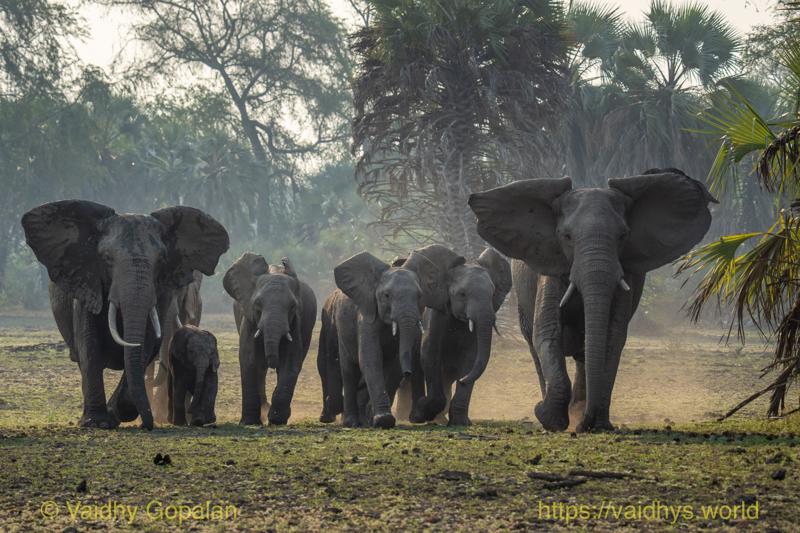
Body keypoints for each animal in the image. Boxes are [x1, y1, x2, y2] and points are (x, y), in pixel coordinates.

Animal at [21, 200, 229, 429]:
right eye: (106, 259)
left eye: (161, 260)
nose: (147, 425)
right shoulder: (87, 281)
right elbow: (89, 344)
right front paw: (98, 422)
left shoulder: (160, 293)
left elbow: (146, 342)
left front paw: (117, 413)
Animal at [223, 253, 316, 425]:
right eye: (257, 304)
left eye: (292, 306)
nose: (273, 361)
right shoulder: (249, 318)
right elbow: (249, 359)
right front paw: (249, 423)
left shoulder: (296, 321)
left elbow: (291, 360)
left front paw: (276, 420)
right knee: (260, 369)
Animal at [325, 245, 465, 429]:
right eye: (386, 296)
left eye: (419, 296)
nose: (408, 372)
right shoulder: (367, 315)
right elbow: (370, 357)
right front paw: (382, 419)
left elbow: (395, 363)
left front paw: (375, 417)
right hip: (342, 327)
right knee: (349, 371)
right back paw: (352, 422)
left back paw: (364, 419)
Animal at [409, 248, 512, 426]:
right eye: (462, 294)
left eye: (492, 293)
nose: (463, 379)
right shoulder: (436, 315)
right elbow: (429, 353)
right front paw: (422, 412)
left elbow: (471, 358)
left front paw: (460, 422)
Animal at [469, 169, 716, 432]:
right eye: (566, 236)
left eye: (623, 236)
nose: (586, 424)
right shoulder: (551, 269)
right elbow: (548, 332)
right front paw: (548, 418)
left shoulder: (625, 275)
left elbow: (611, 336)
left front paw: (595, 423)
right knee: (535, 345)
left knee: (583, 353)